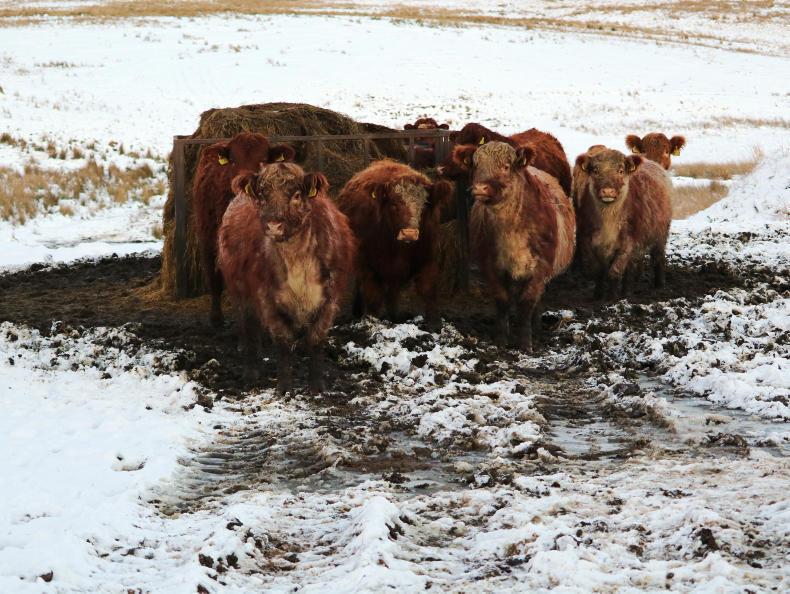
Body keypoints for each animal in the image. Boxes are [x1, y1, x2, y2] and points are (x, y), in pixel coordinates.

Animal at [217, 162, 355, 393]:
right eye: (262, 194)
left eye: (297, 195)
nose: (274, 225)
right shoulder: (267, 298)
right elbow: (283, 342)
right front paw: (284, 387)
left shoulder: (329, 298)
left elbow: (316, 341)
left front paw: (317, 386)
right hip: (240, 291)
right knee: (248, 329)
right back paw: (251, 372)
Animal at [337, 160, 453, 329]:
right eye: (393, 204)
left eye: (425, 205)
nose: (409, 233)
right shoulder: (368, 264)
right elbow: (372, 295)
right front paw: (371, 323)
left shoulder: (428, 257)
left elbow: (428, 289)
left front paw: (434, 324)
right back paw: (357, 312)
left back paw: (394, 316)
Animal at [452, 141, 576, 352]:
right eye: (475, 165)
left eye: (506, 167)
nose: (480, 188)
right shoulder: (491, 266)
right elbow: (502, 300)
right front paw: (501, 339)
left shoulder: (541, 268)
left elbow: (527, 303)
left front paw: (525, 342)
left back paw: (536, 328)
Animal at [574, 147, 672, 299]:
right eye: (595, 170)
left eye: (620, 170)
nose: (608, 191)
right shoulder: (588, 240)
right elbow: (598, 271)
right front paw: (598, 295)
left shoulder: (628, 243)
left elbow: (615, 271)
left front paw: (613, 298)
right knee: (632, 267)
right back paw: (628, 290)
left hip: (660, 234)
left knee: (658, 257)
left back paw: (658, 285)